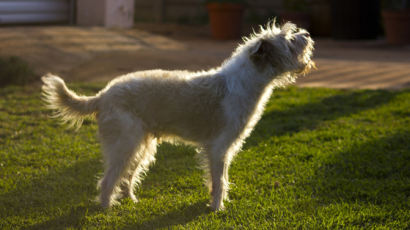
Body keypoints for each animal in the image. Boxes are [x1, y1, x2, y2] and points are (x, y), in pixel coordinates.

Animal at [41, 22, 316, 211]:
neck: (244, 82)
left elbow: (220, 179)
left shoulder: (223, 150)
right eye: (288, 40)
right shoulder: (218, 148)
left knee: (128, 176)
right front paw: (217, 209)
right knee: (108, 179)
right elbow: (219, 180)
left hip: (142, 146)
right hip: (124, 145)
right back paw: (107, 207)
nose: (307, 34)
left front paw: (216, 203)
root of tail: (103, 94)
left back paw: (131, 199)